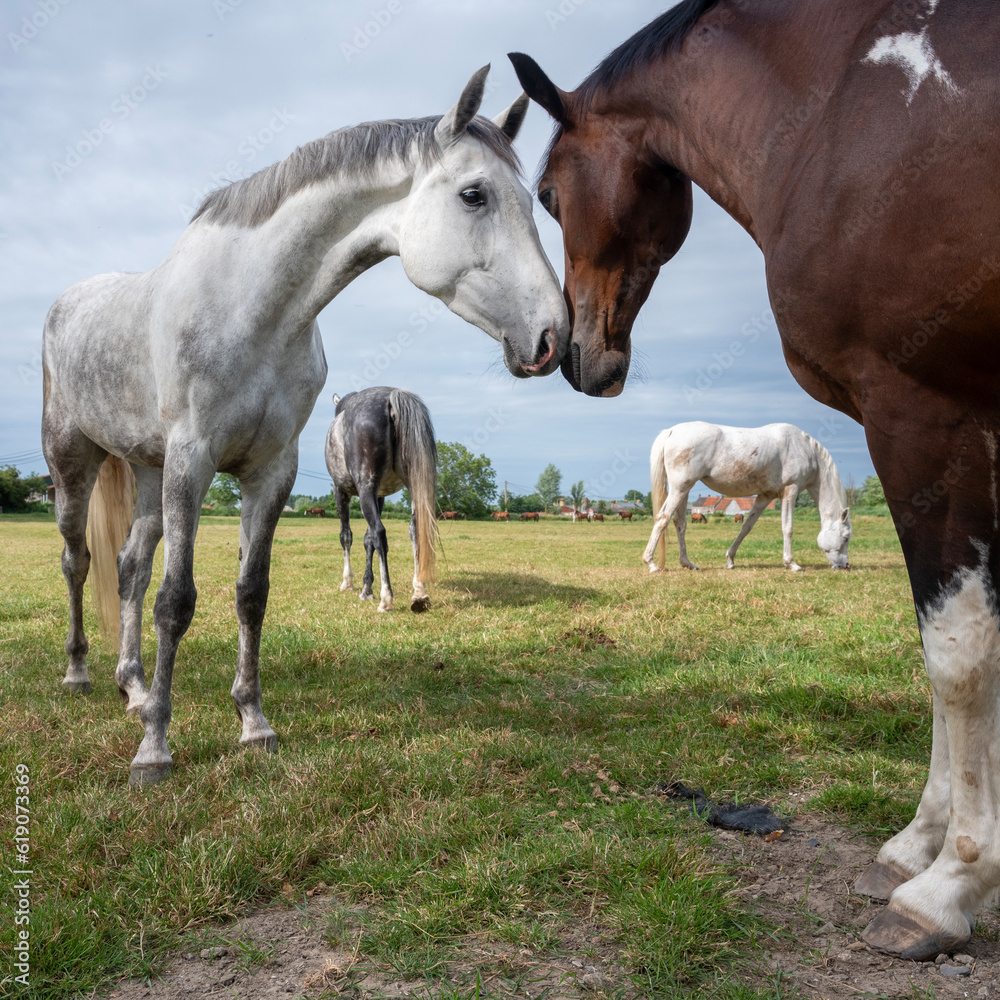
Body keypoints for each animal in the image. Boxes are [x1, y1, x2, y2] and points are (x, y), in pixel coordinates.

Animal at [325, 387, 437, 613]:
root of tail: (391, 398)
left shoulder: (341, 492)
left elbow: (347, 536)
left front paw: (348, 582)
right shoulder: (380, 496)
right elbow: (367, 540)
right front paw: (366, 589)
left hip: (365, 487)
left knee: (379, 533)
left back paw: (387, 598)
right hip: (413, 484)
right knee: (415, 530)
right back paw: (419, 593)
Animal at [509, 1, 1000, 955]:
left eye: (547, 193)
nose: (572, 356)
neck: (841, 106)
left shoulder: (930, 416)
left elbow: (954, 650)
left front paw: (944, 875)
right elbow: (956, 649)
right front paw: (936, 868)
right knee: (668, 520)